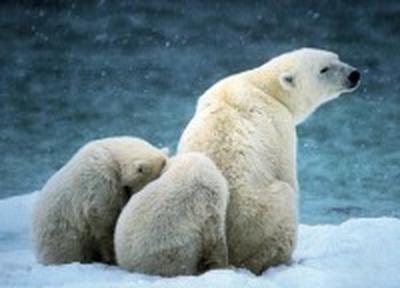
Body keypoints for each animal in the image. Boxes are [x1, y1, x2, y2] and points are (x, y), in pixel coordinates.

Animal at [31, 136, 167, 264]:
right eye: (157, 178)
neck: (113, 156)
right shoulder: (101, 183)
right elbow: (104, 221)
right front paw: (112, 256)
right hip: (61, 237)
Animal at [177, 48, 360, 274]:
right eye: (324, 69)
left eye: (337, 58)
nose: (354, 75)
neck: (263, 87)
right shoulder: (280, 126)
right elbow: (286, 172)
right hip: (263, 216)